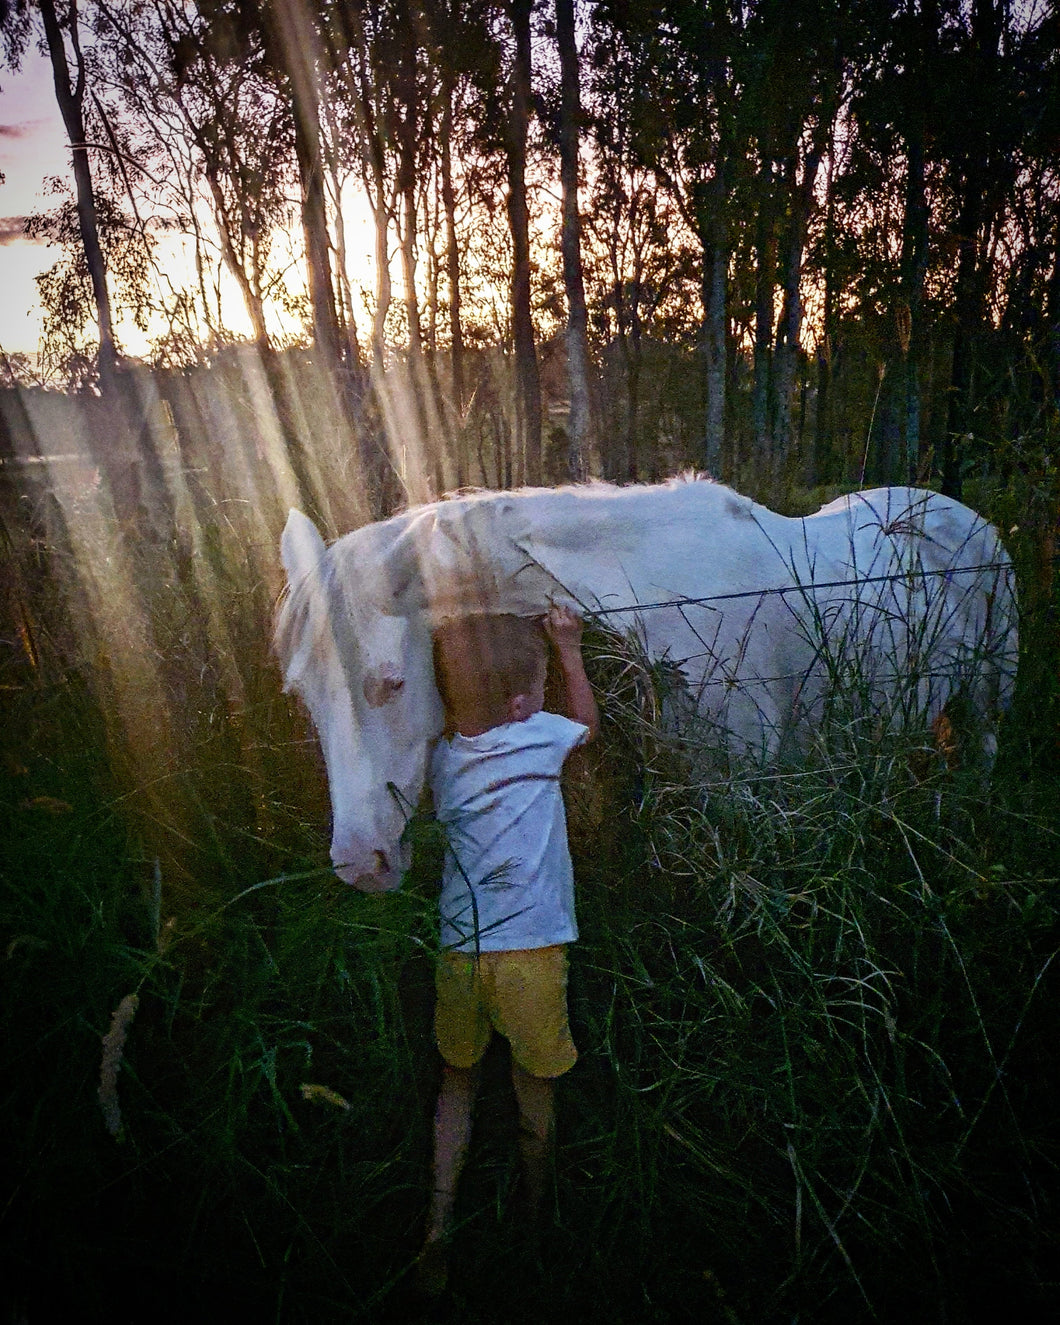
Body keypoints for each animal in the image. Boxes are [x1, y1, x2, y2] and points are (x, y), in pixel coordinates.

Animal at [275, 477, 1017, 890]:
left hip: (989, 692)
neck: (658, 605)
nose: (360, 864)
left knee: (984, 753)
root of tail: (965, 516)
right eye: (303, 699)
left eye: (391, 684)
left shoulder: (751, 795)